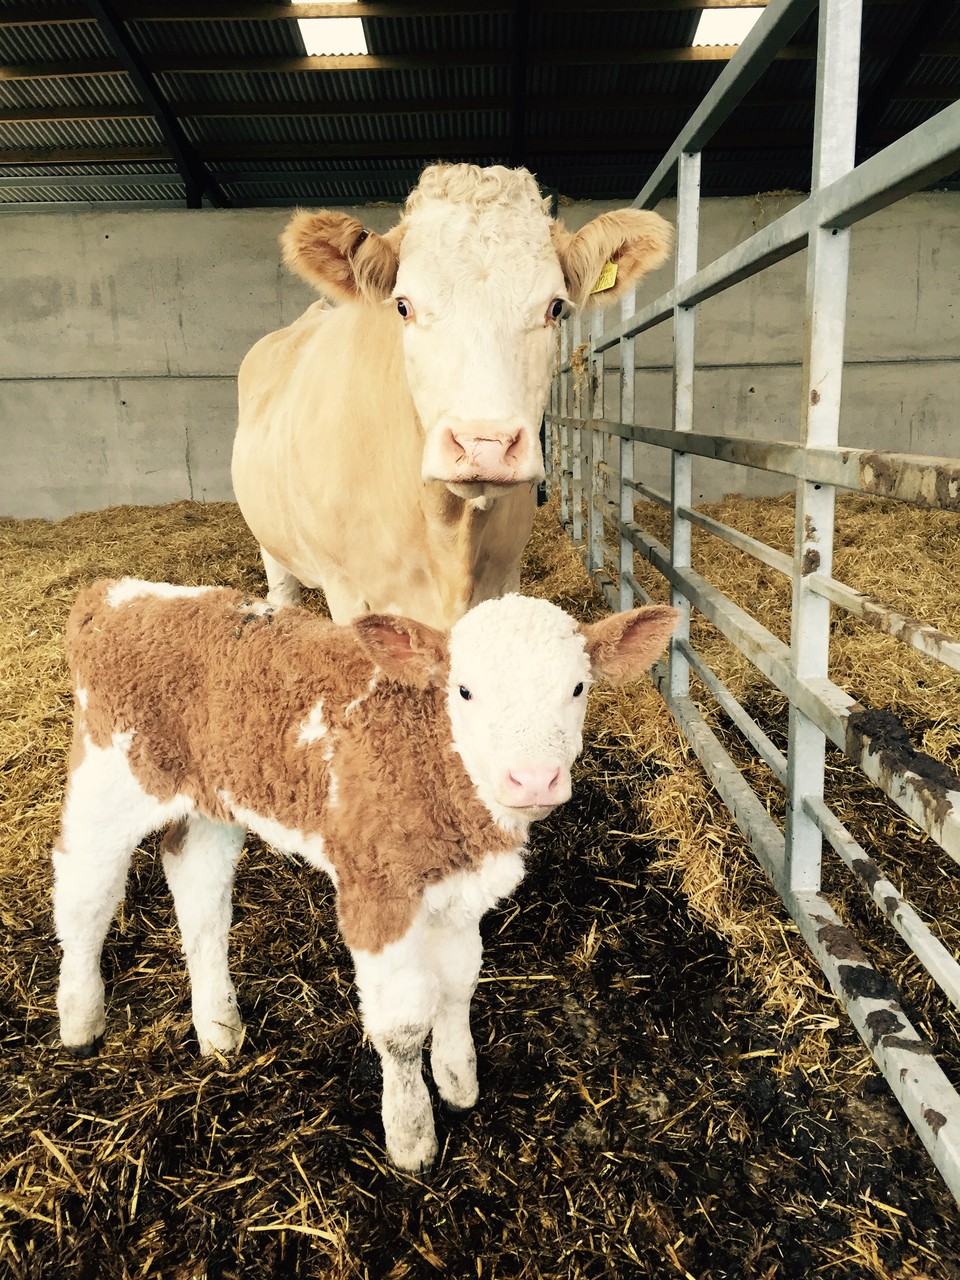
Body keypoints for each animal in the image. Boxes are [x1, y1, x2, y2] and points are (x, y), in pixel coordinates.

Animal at [50, 581, 675, 1172]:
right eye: (464, 691)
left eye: (578, 688)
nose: (533, 779)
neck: (433, 756)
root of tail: (114, 593)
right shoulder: (375, 892)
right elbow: (401, 1025)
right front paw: (410, 1136)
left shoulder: (460, 893)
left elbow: (459, 983)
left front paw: (458, 1082)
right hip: (107, 781)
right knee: (85, 896)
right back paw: (81, 1024)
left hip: (213, 800)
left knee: (198, 891)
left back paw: (220, 1030)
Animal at [234, 165, 670, 629]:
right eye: (403, 305)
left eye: (555, 307)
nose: (484, 447)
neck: (448, 534)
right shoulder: (347, 590)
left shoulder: (505, 574)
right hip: (271, 543)